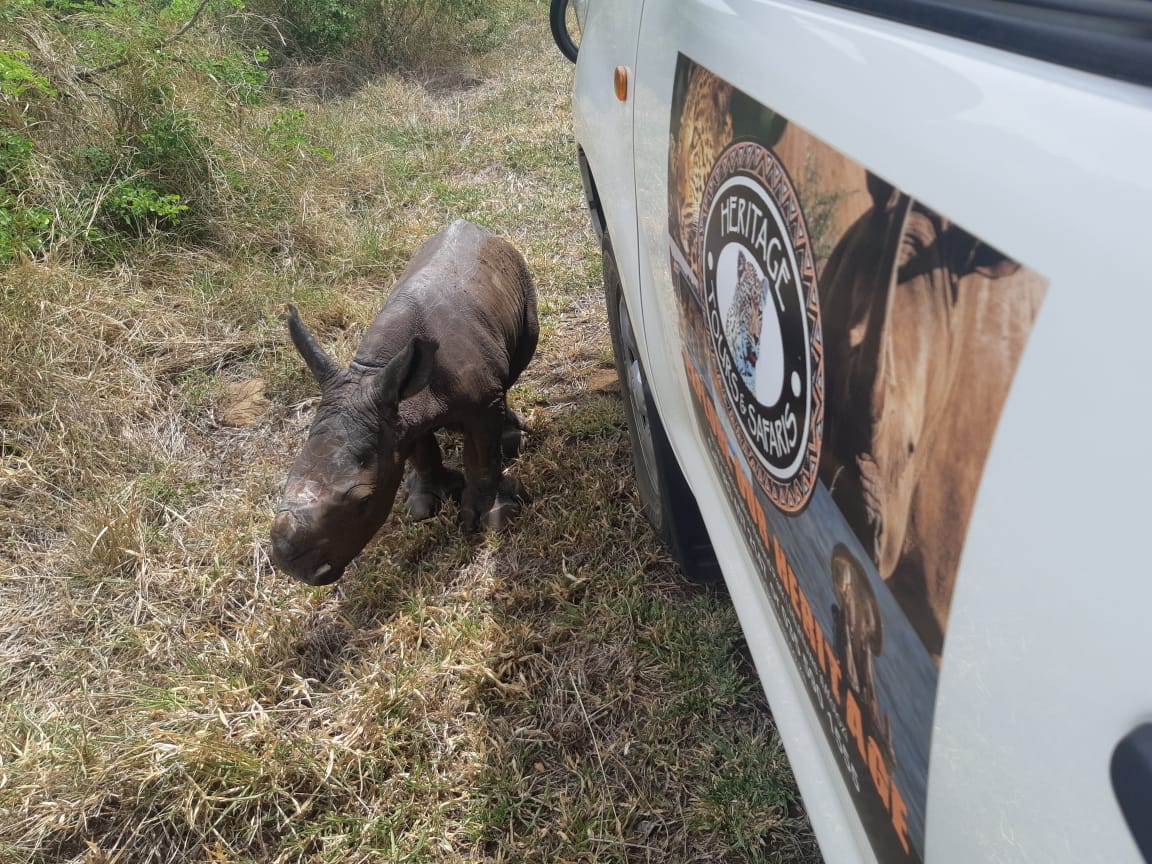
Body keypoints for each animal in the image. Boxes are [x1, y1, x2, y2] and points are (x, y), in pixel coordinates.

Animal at [270, 220, 539, 586]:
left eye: (363, 501)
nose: (292, 567)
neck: (374, 368)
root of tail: (477, 227)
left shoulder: (480, 403)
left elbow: (483, 456)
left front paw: (494, 517)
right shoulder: (393, 410)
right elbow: (420, 449)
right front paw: (425, 504)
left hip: (520, 277)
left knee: (517, 362)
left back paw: (511, 439)